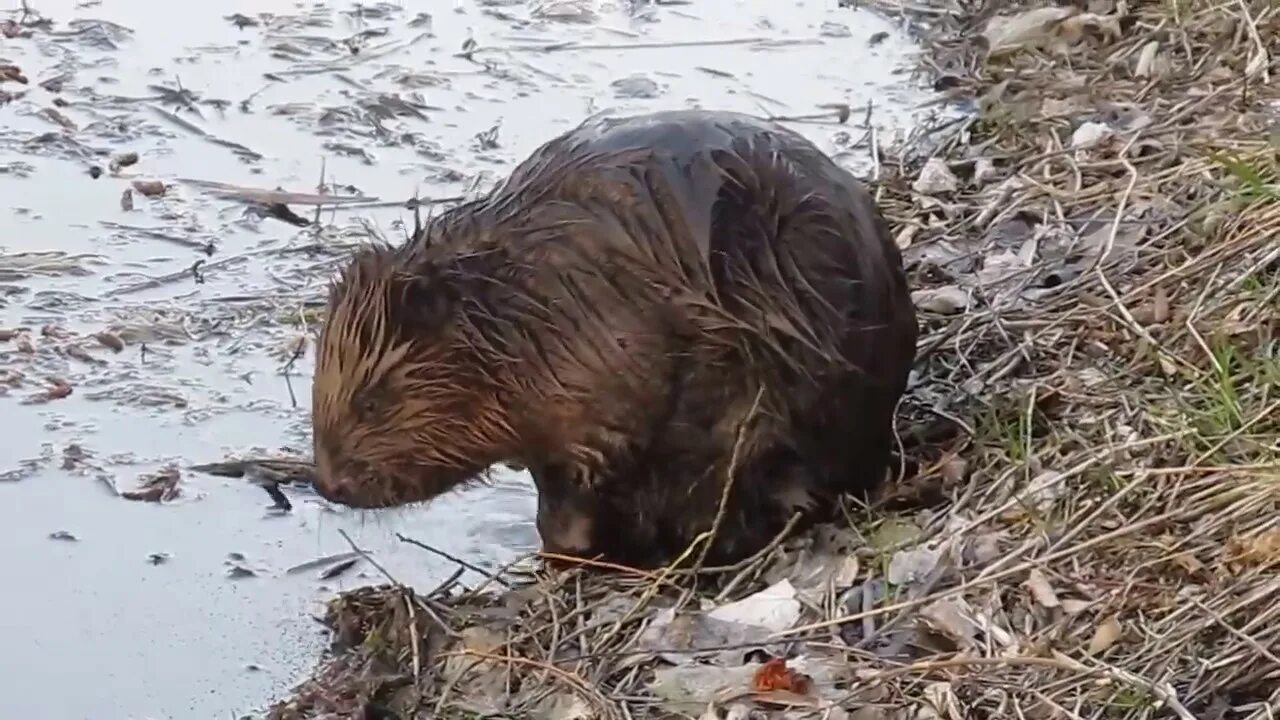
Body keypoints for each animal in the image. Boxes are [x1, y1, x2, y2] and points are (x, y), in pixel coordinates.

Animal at [312, 107, 921, 566]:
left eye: (370, 402)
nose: (328, 484)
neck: (516, 306)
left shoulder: (597, 378)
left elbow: (583, 475)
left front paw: (562, 547)